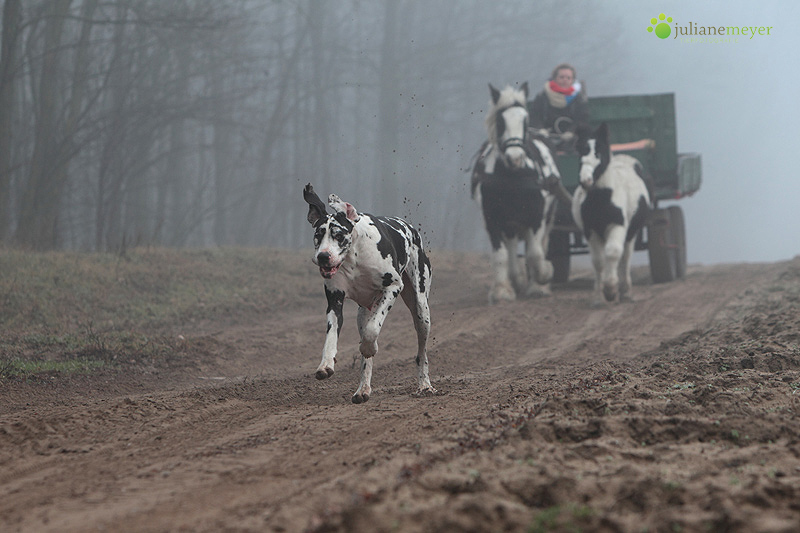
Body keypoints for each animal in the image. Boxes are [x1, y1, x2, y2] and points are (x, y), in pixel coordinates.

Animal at [304, 184, 434, 404]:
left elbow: (372, 331)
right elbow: (331, 336)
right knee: (365, 351)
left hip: (421, 311)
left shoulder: (392, 288)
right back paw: (363, 389)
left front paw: (369, 348)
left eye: (339, 235)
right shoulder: (335, 300)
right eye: (319, 235)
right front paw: (326, 364)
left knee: (421, 352)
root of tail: (410, 228)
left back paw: (425, 384)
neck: (353, 258)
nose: (323, 256)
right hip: (362, 314)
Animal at [472, 81, 560, 302]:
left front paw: (543, 277)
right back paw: (517, 278)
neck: (513, 177)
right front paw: (502, 291)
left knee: (541, 244)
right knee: (511, 248)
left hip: (548, 215)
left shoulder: (537, 216)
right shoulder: (492, 218)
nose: (515, 158)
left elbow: (535, 254)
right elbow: (500, 255)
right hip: (511, 221)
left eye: (525, 121)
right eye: (500, 121)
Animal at [568, 121, 648, 304]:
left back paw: (625, 291)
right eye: (580, 151)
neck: (603, 198)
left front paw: (611, 290)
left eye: (598, 152)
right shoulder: (590, 230)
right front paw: (599, 295)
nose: (585, 181)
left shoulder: (617, 225)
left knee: (625, 257)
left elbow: (613, 252)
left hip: (631, 232)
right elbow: (598, 261)